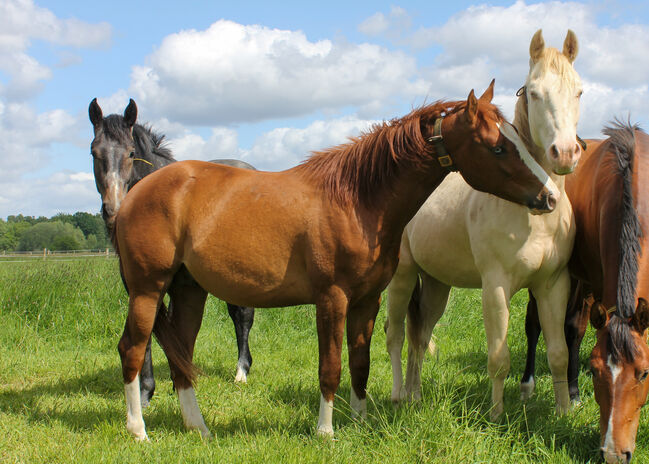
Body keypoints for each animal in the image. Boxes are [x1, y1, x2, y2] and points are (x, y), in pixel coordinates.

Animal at [88, 99, 256, 406]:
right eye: (94, 151)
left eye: (131, 152)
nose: (113, 209)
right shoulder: (140, 285)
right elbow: (153, 331)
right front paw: (150, 390)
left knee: (243, 317)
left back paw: (241, 371)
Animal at [112, 84, 556, 442]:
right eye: (498, 146)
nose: (549, 196)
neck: (357, 200)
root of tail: (134, 193)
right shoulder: (332, 299)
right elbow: (331, 366)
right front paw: (325, 431)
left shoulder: (367, 300)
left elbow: (361, 362)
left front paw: (359, 421)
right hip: (147, 290)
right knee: (132, 349)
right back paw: (138, 431)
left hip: (189, 290)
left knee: (181, 356)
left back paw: (199, 428)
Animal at [384, 29, 584, 420]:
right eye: (534, 91)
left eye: (579, 91)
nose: (566, 154)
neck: (531, 217)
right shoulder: (495, 287)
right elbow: (499, 358)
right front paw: (495, 416)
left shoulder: (553, 285)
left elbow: (558, 354)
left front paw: (563, 412)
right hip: (403, 276)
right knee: (396, 334)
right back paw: (399, 395)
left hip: (436, 285)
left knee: (420, 336)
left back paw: (416, 397)